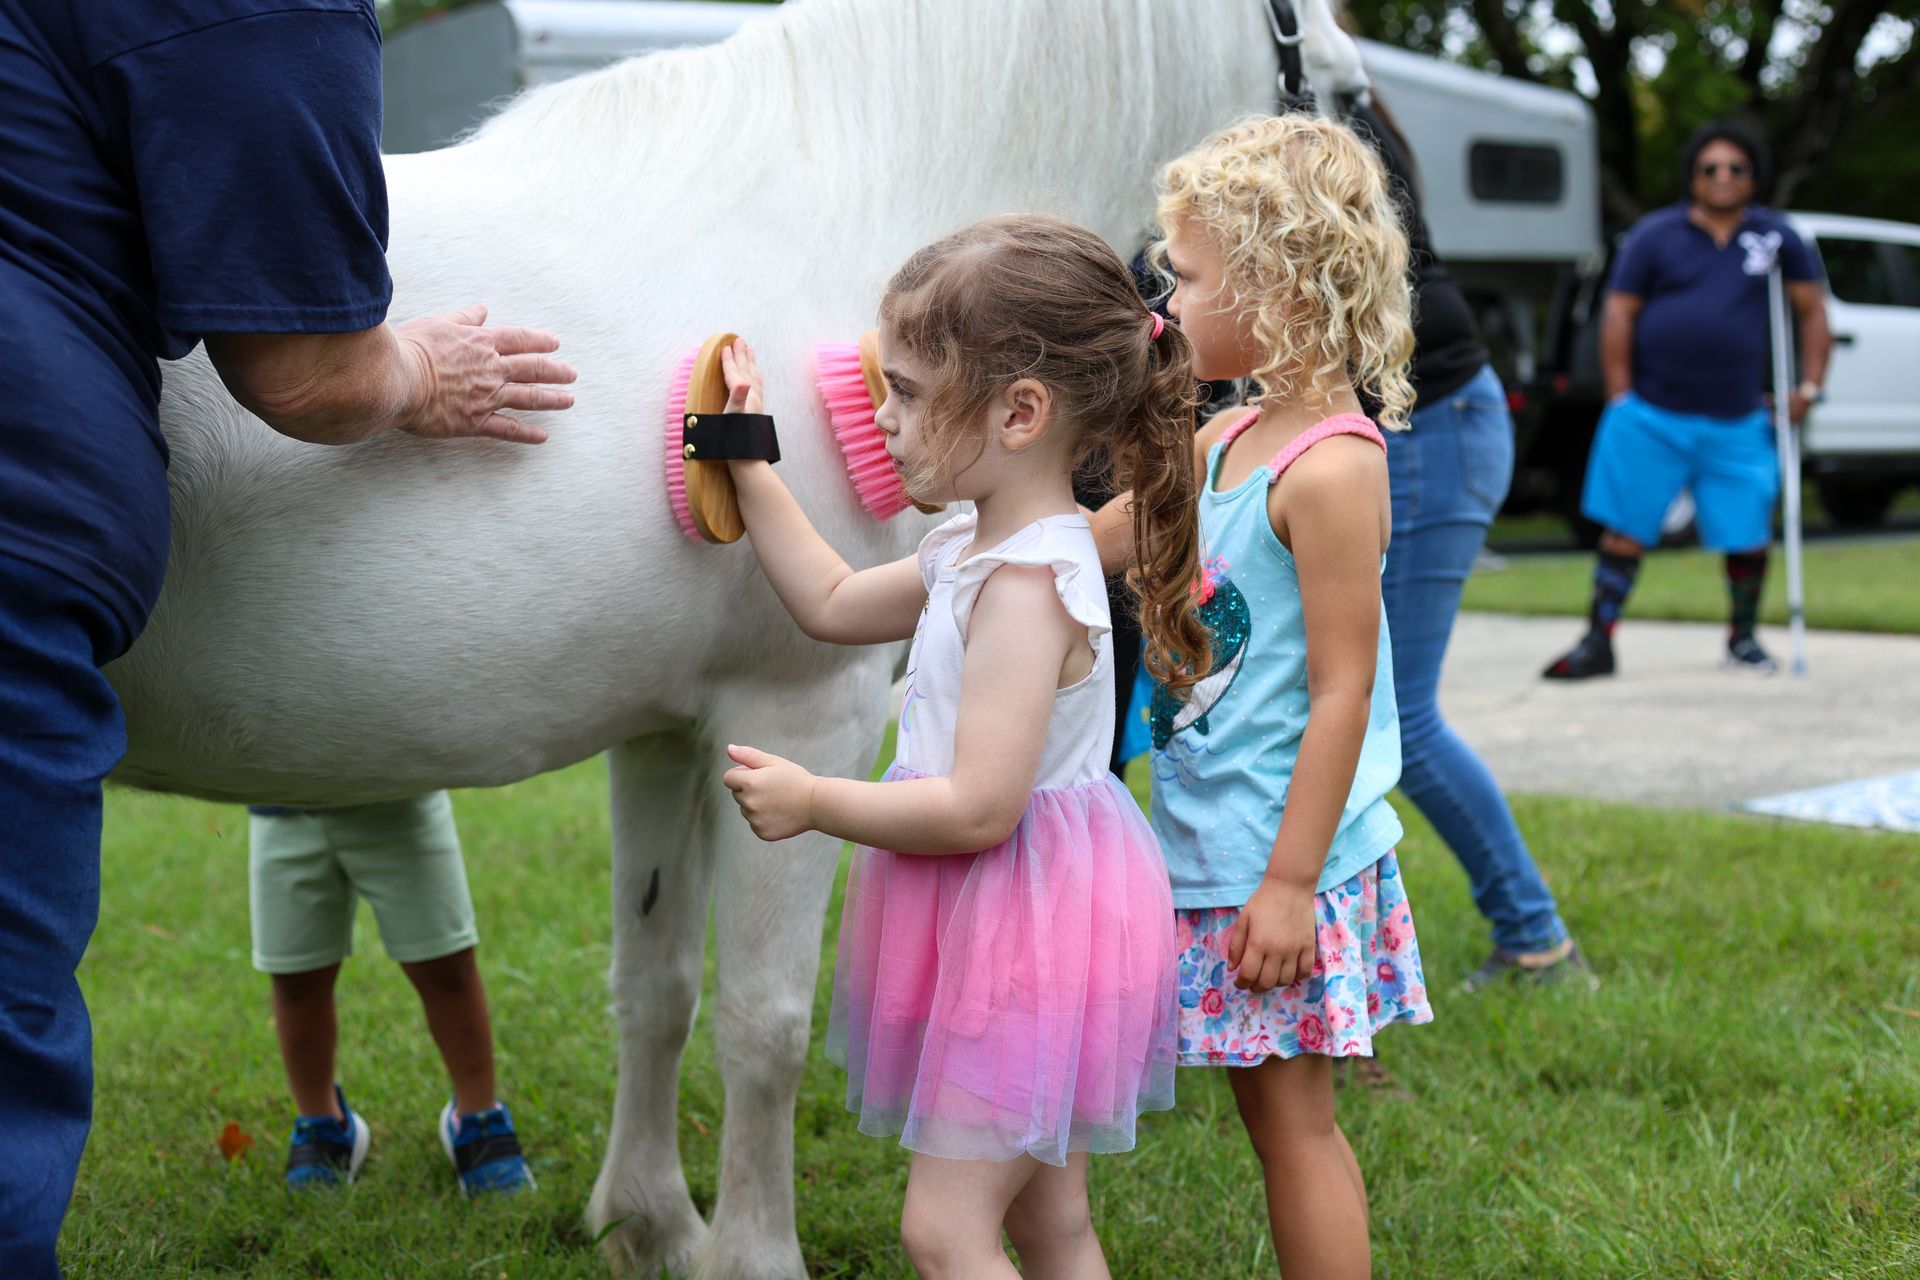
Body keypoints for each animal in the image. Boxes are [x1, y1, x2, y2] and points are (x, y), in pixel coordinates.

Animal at [103, 0, 1363, 1272]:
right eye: (1339, 83)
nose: (1362, 364)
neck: (844, 194)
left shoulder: (663, 731)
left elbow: (655, 984)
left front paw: (647, 1221)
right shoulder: (803, 711)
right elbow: (765, 1020)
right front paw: (754, 1249)